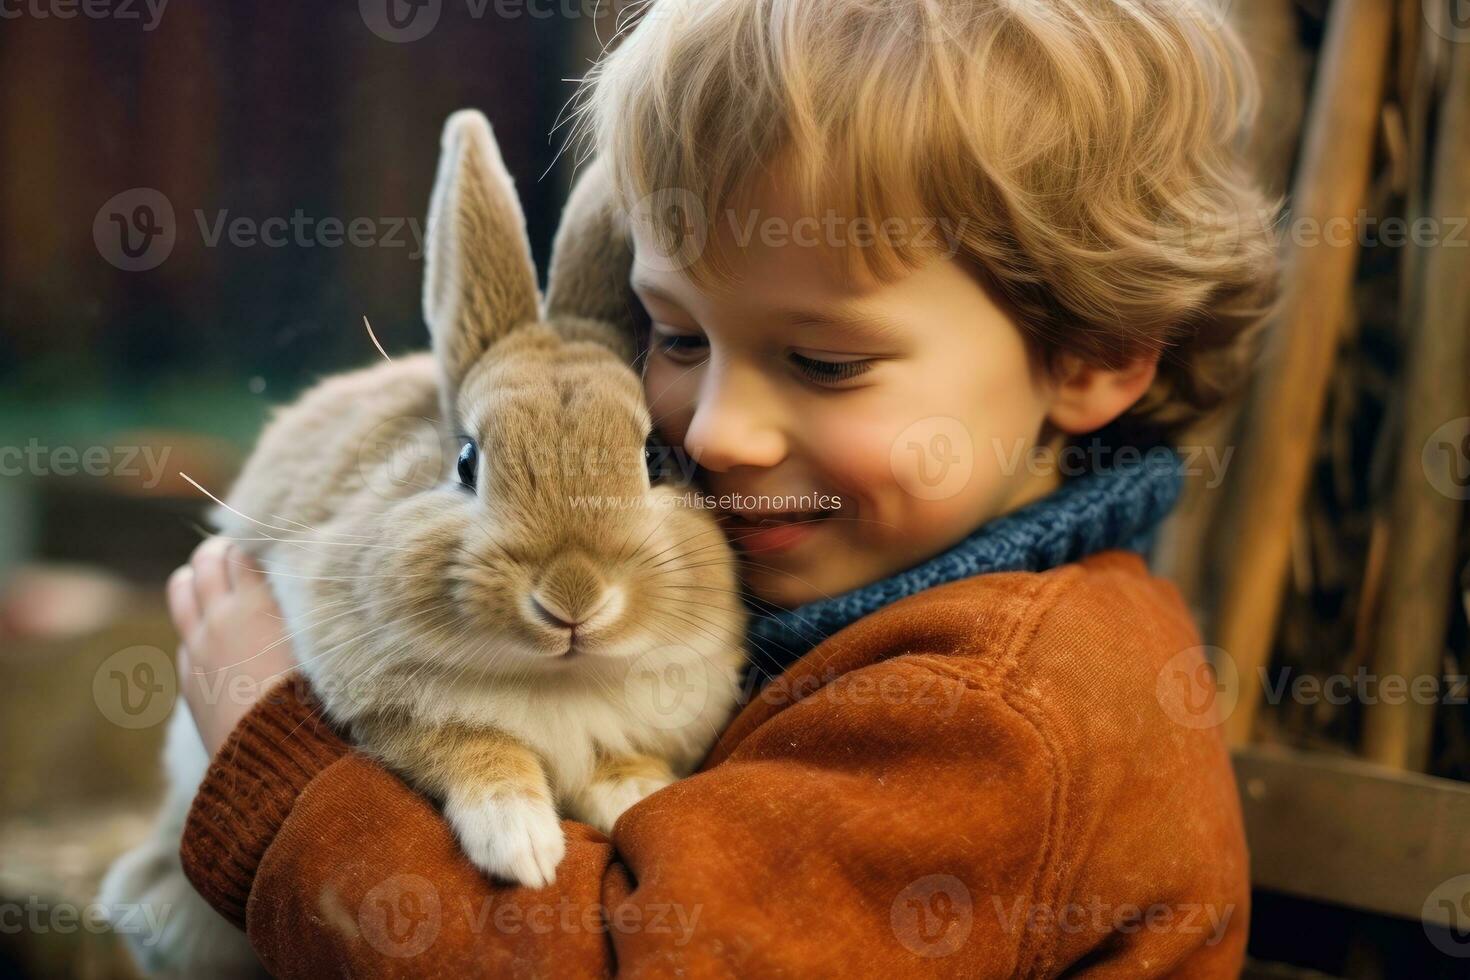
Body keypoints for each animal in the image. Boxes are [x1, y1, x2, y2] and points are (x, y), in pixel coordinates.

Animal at [102, 110, 746, 975]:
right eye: (467, 462)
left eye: (655, 460)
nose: (572, 595)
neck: (559, 680)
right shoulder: (389, 716)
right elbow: (474, 749)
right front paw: (523, 846)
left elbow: (621, 762)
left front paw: (639, 795)